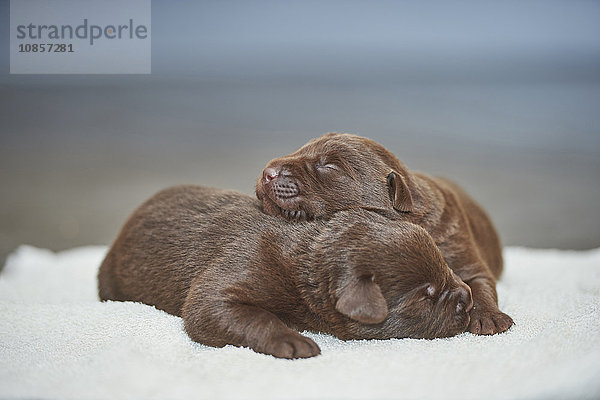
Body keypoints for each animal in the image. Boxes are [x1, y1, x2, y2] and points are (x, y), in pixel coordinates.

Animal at [98, 186, 474, 358]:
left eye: (446, 266)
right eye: (426, 295)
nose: (468, 300)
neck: (305, 259)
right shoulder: (235, 274)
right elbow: (232, 312)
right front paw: (293, 341)